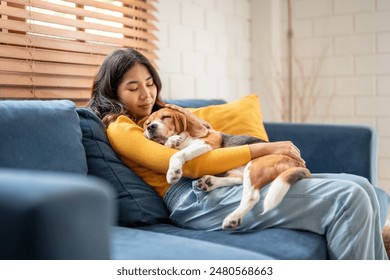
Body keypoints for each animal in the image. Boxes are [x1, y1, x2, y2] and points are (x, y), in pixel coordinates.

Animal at [140, 106, 310, 229]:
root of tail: (300, 163)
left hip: (255, 165)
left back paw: (233, 218)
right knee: (238, 180)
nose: (151, 127)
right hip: (242, 169)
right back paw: (209, 182)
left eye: (166, 117)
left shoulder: (206, 144)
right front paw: (171, 141)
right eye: (147, 123)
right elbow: (172, 147)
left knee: (252, 195)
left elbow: (178, 154)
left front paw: (173, 171)